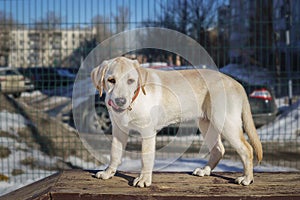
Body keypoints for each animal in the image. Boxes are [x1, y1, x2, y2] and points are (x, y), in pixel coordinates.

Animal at [91, 56, 262, 188]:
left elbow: (146, 158)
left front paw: (144, 179)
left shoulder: (147, 132)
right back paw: (205, 170)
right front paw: (108, 172)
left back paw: (247, 178)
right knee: (218, 149)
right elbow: (114, 153)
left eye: (131, 81)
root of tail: (237, 83)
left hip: (225, 122)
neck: (134, 100)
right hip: (206, 123)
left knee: (247, 149)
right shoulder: (118, 130)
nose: (120, 101)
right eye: (111, 80)